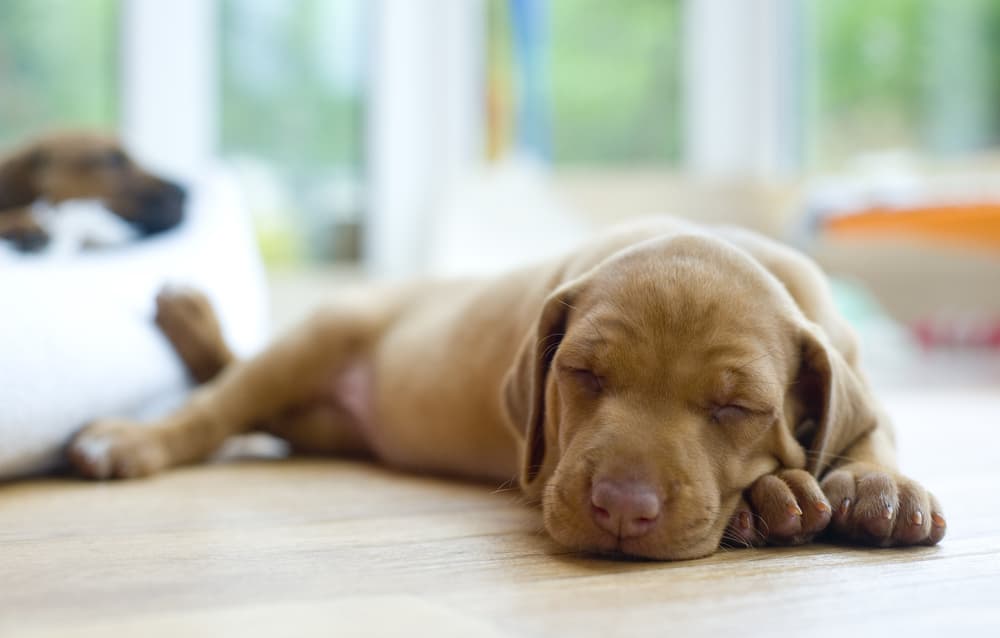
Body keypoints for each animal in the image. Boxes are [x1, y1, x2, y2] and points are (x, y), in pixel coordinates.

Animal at [68, 220, 944, 560]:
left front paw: (877, 487)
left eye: (736, 409)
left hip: (323, 421)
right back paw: (132, 432)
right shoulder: (544, 462)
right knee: (220, 403)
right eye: (583, 375)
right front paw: (775, 498)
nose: (623, 509)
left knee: (259, 404)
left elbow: (870, 427)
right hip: (327, 333)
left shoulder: (847, 363)